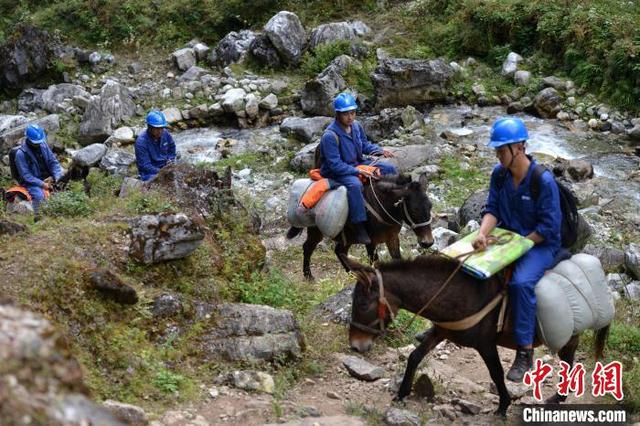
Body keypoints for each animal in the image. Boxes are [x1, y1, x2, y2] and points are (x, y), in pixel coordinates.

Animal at [286, 173, 435, 281]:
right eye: (414, 210)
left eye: (430, 206)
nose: (427, 242)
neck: (381, 206)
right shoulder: (371, 243)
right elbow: (376, 263)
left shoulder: (392, 237)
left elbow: (397, 258)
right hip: (316, 230)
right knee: (308, 247)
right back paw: (308, 276)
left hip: (346, 237)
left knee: (340, 251)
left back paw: (352, 275)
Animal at [344, 254, 610, 416]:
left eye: (362, 303)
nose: (356, 346)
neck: (460, 295)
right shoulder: (440, 331)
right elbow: (415, 357)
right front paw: (401, 394)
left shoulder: (485, 344)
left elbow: (496, 373)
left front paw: (503, 406)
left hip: (570, 336)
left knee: (569, 364)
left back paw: (558, 398)